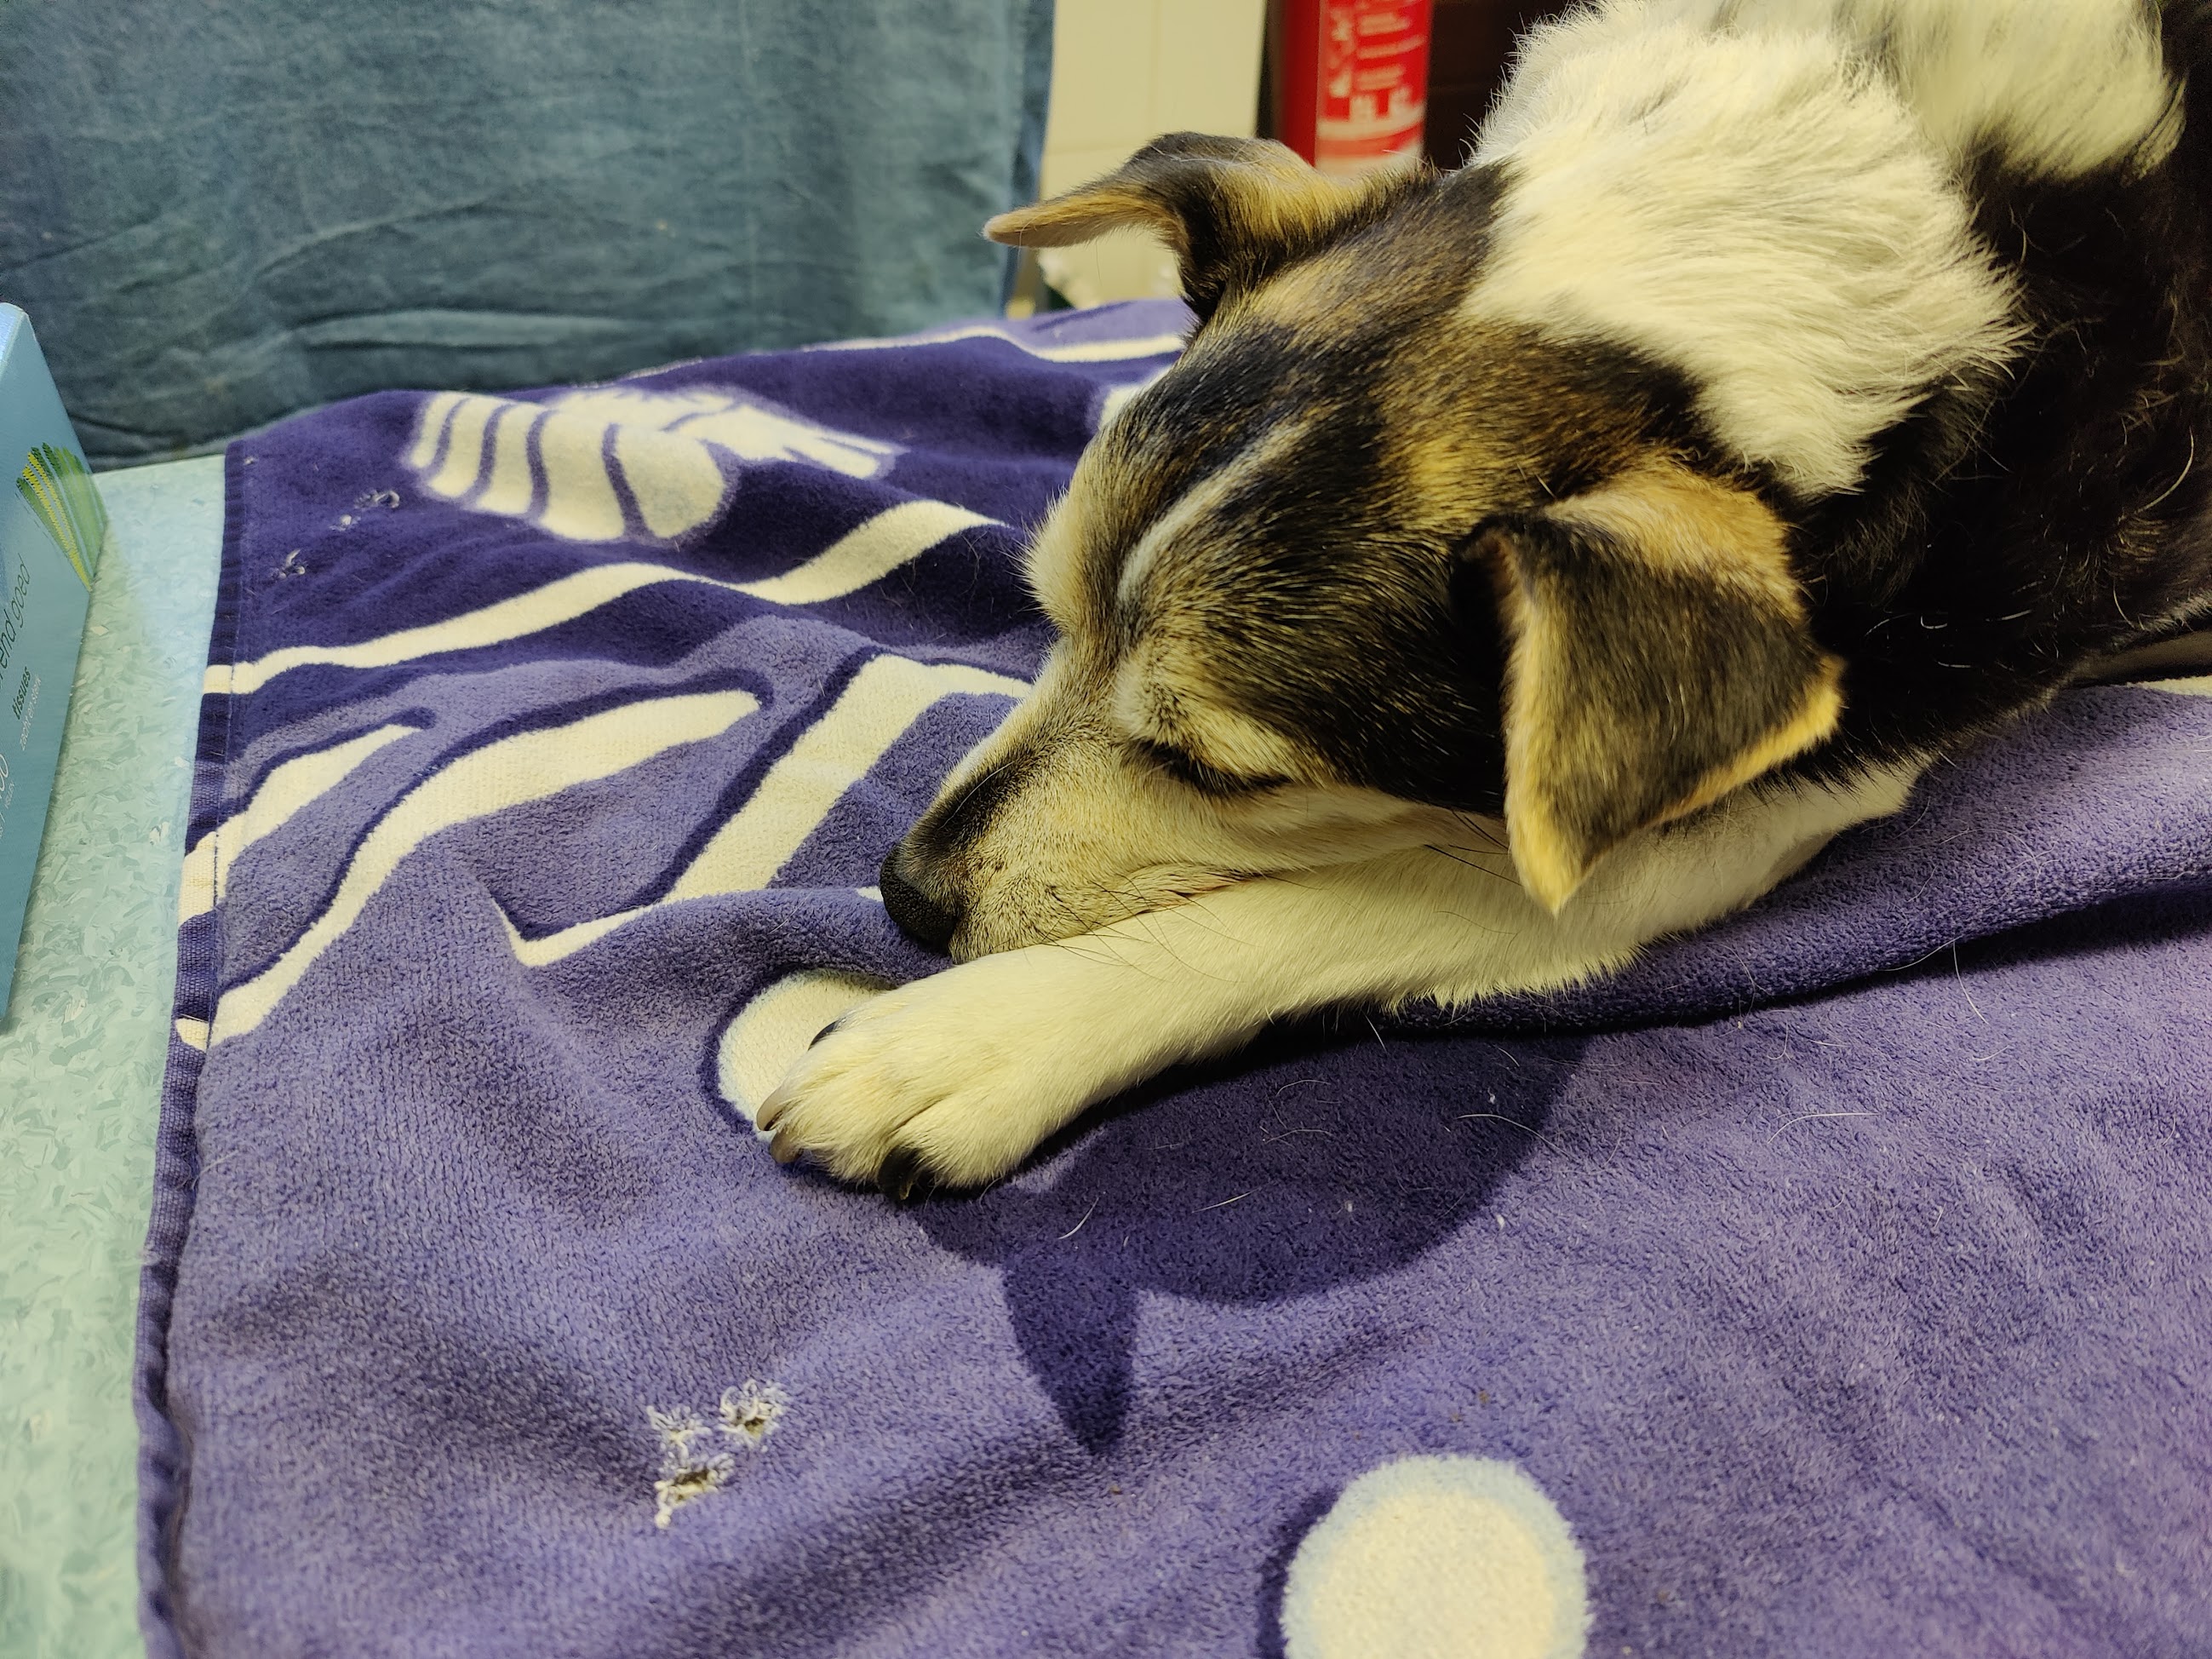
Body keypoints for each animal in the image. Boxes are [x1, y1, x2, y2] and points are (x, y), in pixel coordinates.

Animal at [760, 0, 2212, 1194]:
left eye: (1221, 773)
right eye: (1047, 616)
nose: (904, 895)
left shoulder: (1730, 804)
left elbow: (1348, 896)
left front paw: (976, 1040)